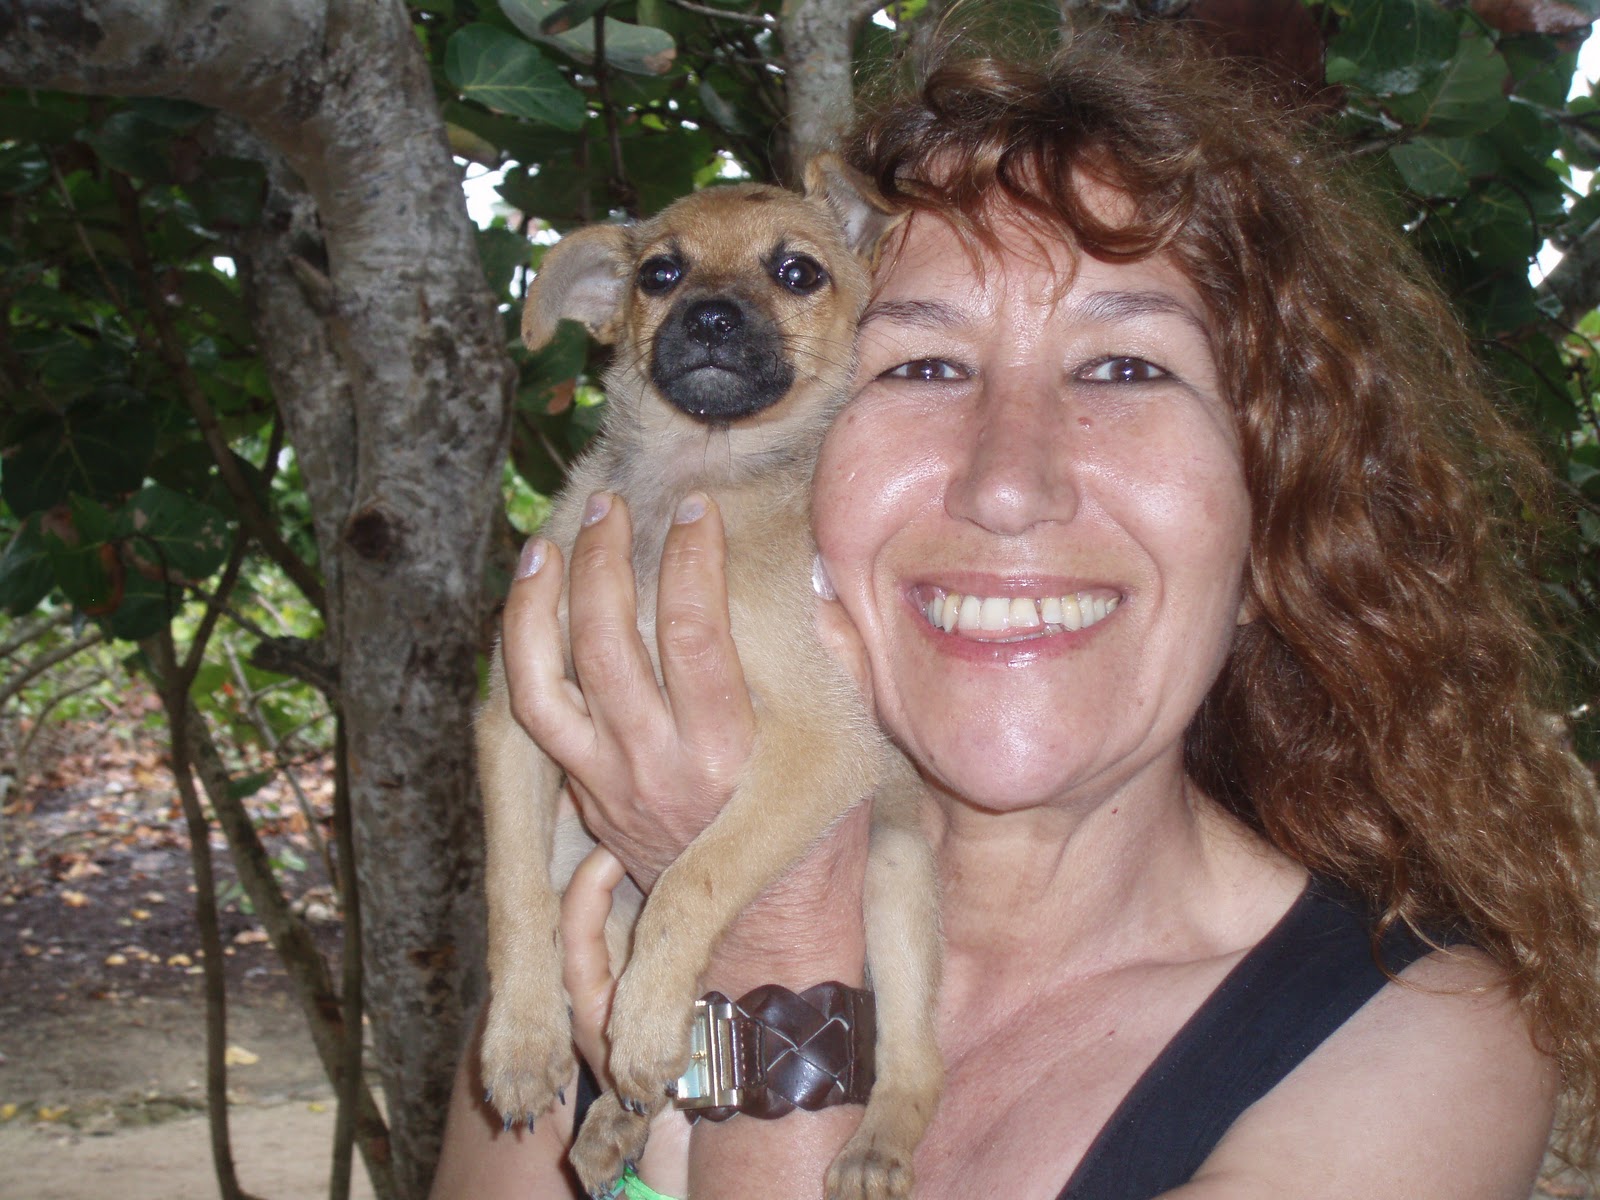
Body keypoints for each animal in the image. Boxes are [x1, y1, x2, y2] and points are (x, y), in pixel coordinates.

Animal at [475, 159, 943, 1199]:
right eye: (661, 274)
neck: (693, 478)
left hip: (895, 886)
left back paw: (877, 1147)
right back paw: (611, 1121)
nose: (713, 318)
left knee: (916, 1060)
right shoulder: (514, 722)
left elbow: (697, 876)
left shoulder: (821, 748)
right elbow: (514, 895)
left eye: (799, 272)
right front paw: (519, 1042)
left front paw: (649, 1023)